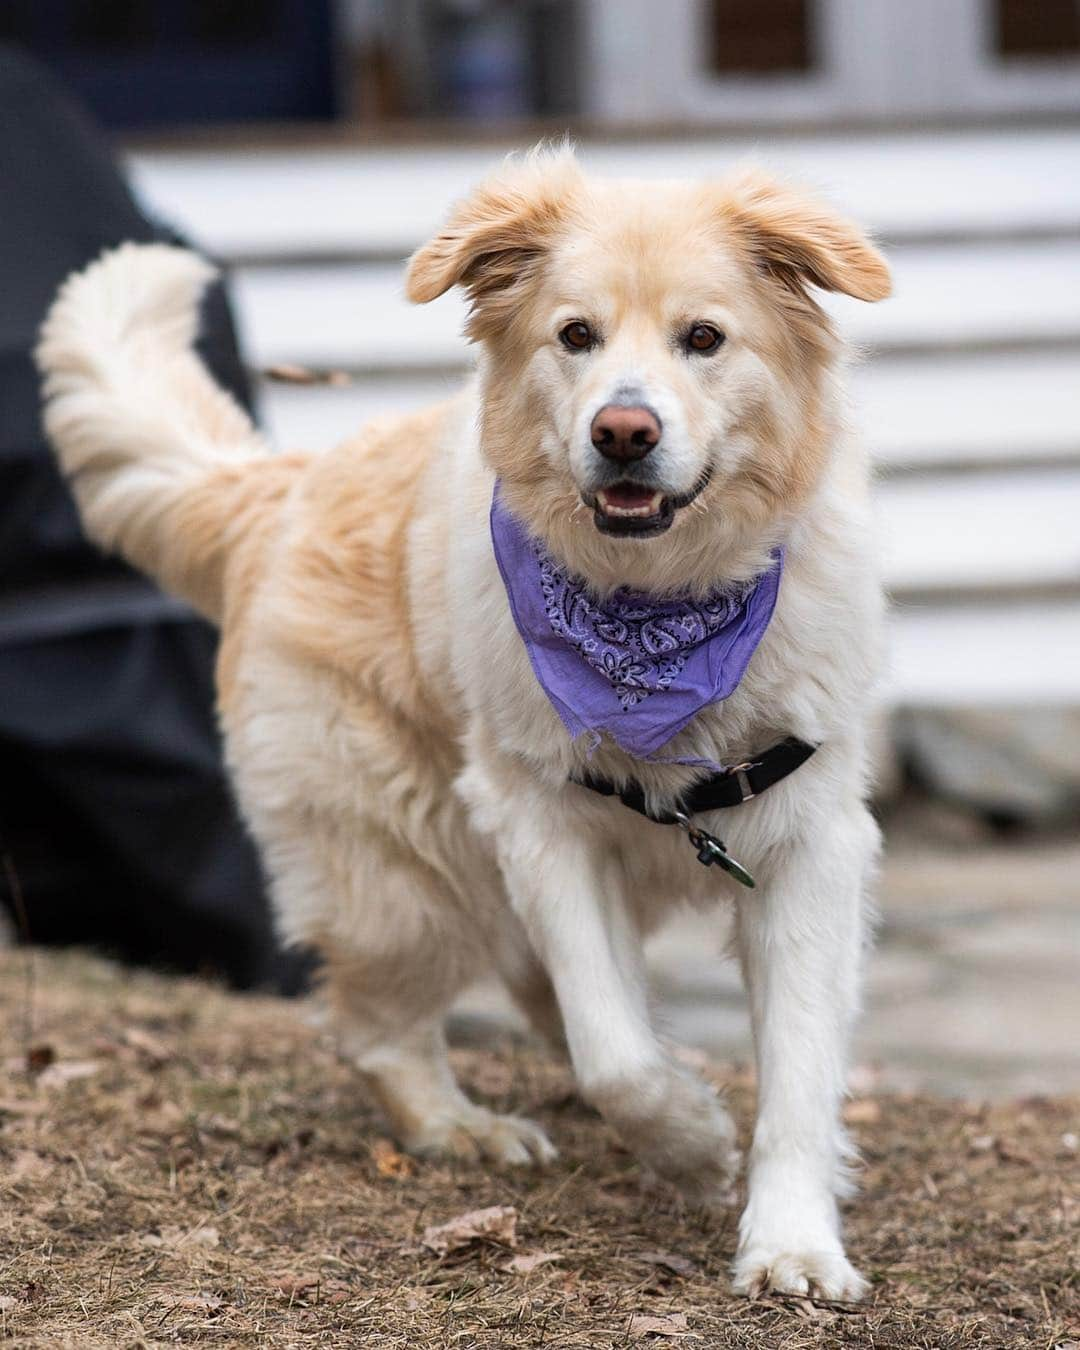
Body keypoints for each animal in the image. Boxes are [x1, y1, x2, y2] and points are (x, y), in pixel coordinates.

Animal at [37, 147, 891, 1296]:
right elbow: (617, 1055)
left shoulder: (810, 842)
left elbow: (793, 1064)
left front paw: (791, 1241)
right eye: (575, 336)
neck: (656, 608)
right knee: (379, 1028)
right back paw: (462, 1126)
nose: (624, 432)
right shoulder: (541, 823)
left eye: (705, 339)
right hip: (413, 877)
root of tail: (285, 485)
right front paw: (689, 1139)